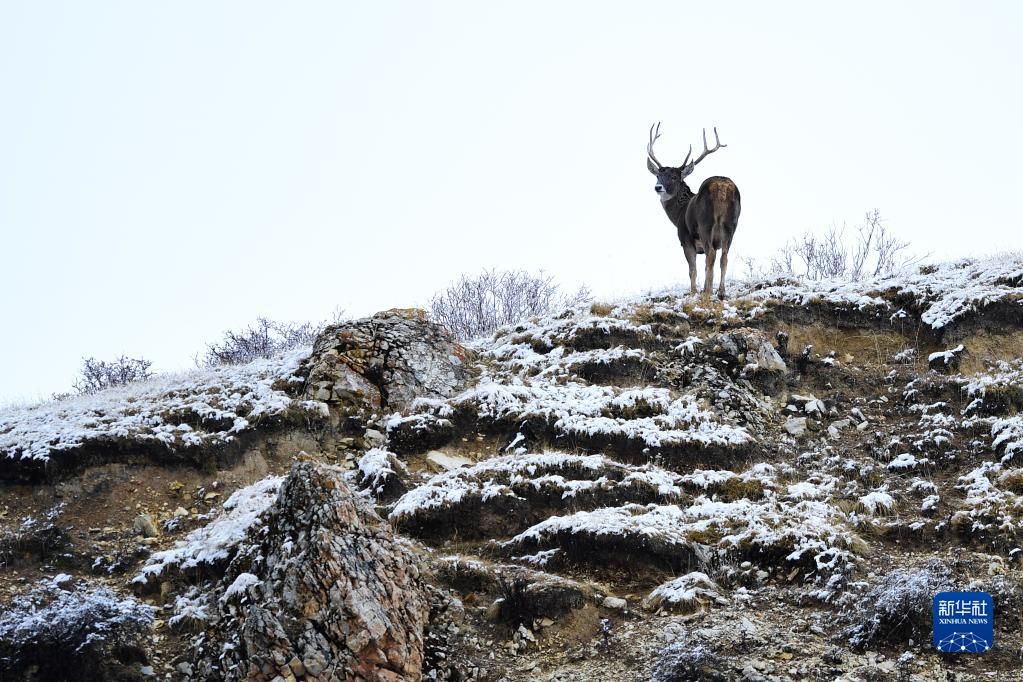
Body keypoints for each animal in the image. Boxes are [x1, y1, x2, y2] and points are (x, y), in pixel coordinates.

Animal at [650, 124, 740, 300]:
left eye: (674, 177)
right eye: (658, 175)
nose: (658, 187)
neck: (679, 212)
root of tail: (722, 187)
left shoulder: (685, 239)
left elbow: (692, 270)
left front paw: (693, 292)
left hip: (705, 224)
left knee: (711, 254)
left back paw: (708, 292)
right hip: (731, 225)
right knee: (724, 256)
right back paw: (720, 292)